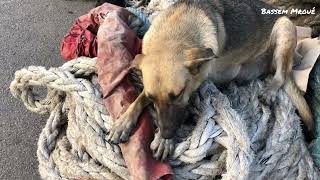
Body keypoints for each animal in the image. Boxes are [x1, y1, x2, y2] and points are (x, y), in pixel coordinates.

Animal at [106, 0, 314, 160]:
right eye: (152, 97)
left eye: (178, 94)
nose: (165, 133)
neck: (175, 36)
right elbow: (139, 98)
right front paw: (124, 121)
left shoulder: (194, 84)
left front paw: (164, 141)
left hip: (285, 28)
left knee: (281, 74)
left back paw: (270, 90)